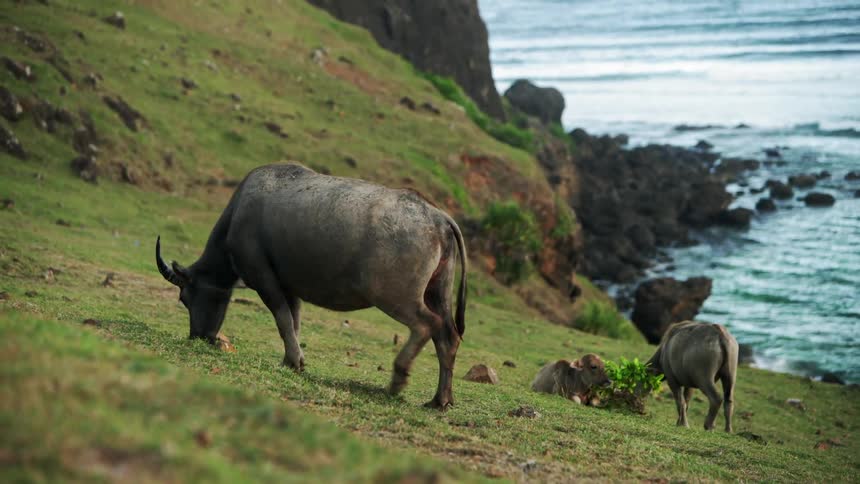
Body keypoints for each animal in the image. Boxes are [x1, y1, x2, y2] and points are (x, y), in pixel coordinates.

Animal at [156, 164, 467, 409]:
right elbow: (294, 322)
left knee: (426, 325)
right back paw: (440, 400)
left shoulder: (264, 280)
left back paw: (397, 380)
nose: (197, 336)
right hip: (437, 292)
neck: (238, 215)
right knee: (447, 336)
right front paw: (295, 360)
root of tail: (438, 218)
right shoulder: (290, 287)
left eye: (186, 298)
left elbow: (282, 319)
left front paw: (292, 361)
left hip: (393, 296)